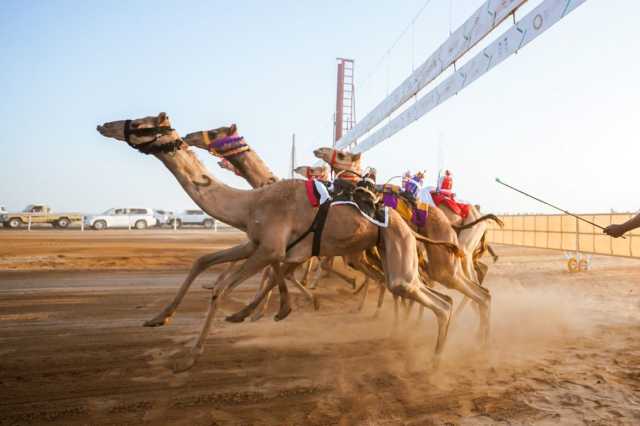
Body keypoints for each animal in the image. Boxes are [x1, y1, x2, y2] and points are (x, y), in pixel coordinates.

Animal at [96, 112, 460, 370]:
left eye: (141, 124)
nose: (103, 125)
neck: (249, 203)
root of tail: (405, 222)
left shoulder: (272, 247)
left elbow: (225, 287)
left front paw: (191, 357)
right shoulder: (259, 244)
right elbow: (206, 262)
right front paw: (159, 318)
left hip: (399, 252)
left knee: (435, 300)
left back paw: (436, 360)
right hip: (382, 254)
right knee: (430, 295)